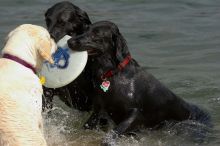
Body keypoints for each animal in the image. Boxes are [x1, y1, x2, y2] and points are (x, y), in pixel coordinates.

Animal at [67, 20, 211, 144]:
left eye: (96, 34)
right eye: (85, 30)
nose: (69, 41)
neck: (113, 74)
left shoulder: (135, 114)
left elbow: (116, 130)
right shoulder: (99, 110)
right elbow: (87, 125)